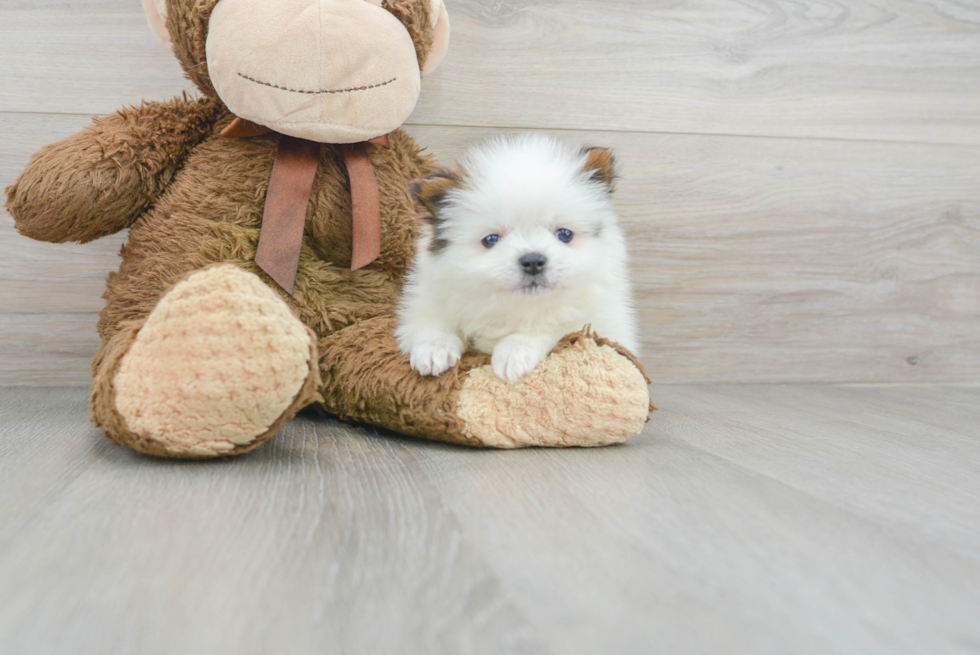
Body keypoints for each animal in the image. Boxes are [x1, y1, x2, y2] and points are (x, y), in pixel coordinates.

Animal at [394, 136, 640, 384]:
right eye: (491, 239)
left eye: (564, 234)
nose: (532, 261)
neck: (518, 307)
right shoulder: (430, 297)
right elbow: (433, 321)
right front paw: (434, 349)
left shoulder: (600, 325)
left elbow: (555, 325)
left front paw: (514, 352)